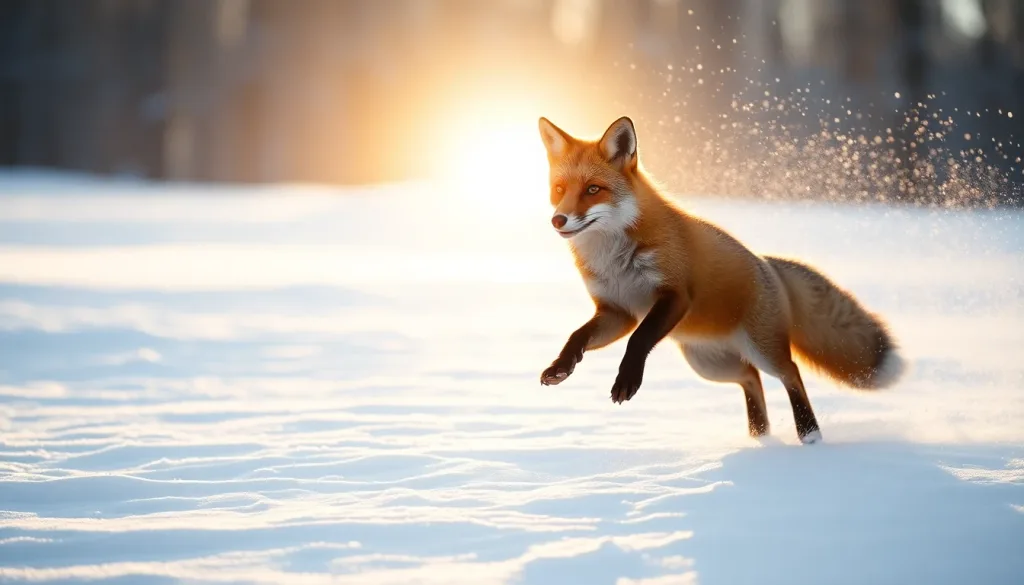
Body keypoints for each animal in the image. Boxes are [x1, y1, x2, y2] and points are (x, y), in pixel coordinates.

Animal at [536, 115, 905, 444]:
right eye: (559, 189)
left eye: (593, 189)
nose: (558, 220)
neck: (613, 260)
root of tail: (766, 263)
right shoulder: (617, 311)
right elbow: (577, 335)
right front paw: (561, 366)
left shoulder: (675, 296)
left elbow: (638, 340)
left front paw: (626, 380)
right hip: (709, 364)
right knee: (751, 379)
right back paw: (760, 436)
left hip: (762, 349)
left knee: (790, 373)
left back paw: (809, 434)